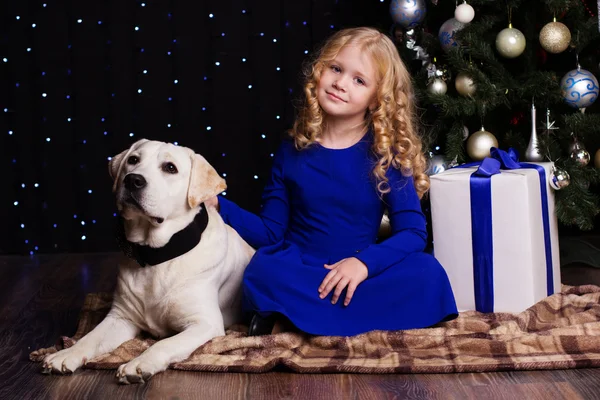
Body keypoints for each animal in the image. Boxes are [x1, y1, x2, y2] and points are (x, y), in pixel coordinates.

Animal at [41, 139, 253, 382]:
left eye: (170, 167)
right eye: (133, 160)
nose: (133, 179)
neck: (157, 257)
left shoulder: (204, 323)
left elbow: (164, 343)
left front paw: (139, 363)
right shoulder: (120, 317)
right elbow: (90, 337)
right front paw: (66, 353)